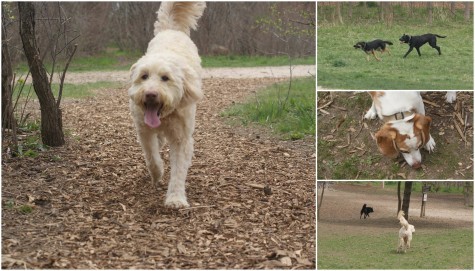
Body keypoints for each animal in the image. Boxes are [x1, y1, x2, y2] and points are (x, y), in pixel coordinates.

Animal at [128, 1, 206, 208]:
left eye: (165, 78)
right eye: (144, 76)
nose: (150, 94)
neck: (165, 116)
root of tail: (171, 29)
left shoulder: (181, 139)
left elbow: (178, 171)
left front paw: (176, 198)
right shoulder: (144, 131)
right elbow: (152, 157)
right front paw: (158, 174)